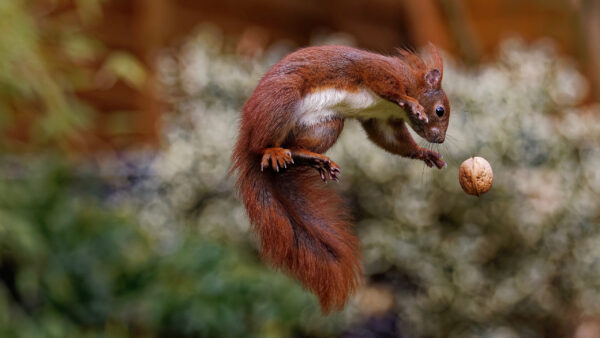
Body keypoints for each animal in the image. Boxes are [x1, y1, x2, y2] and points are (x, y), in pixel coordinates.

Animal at [232, 43, 448, 312]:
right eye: (440, 110)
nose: (440, 139)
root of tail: (248, 129)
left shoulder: (381, 118)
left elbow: (389, 138)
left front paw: (424, 153)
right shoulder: (382, 71)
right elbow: (386, 84)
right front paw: (412, 103)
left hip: (327, 125)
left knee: (294, 147)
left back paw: (313, 159)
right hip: (281, 101)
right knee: (259, 145)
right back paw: (270, 150)